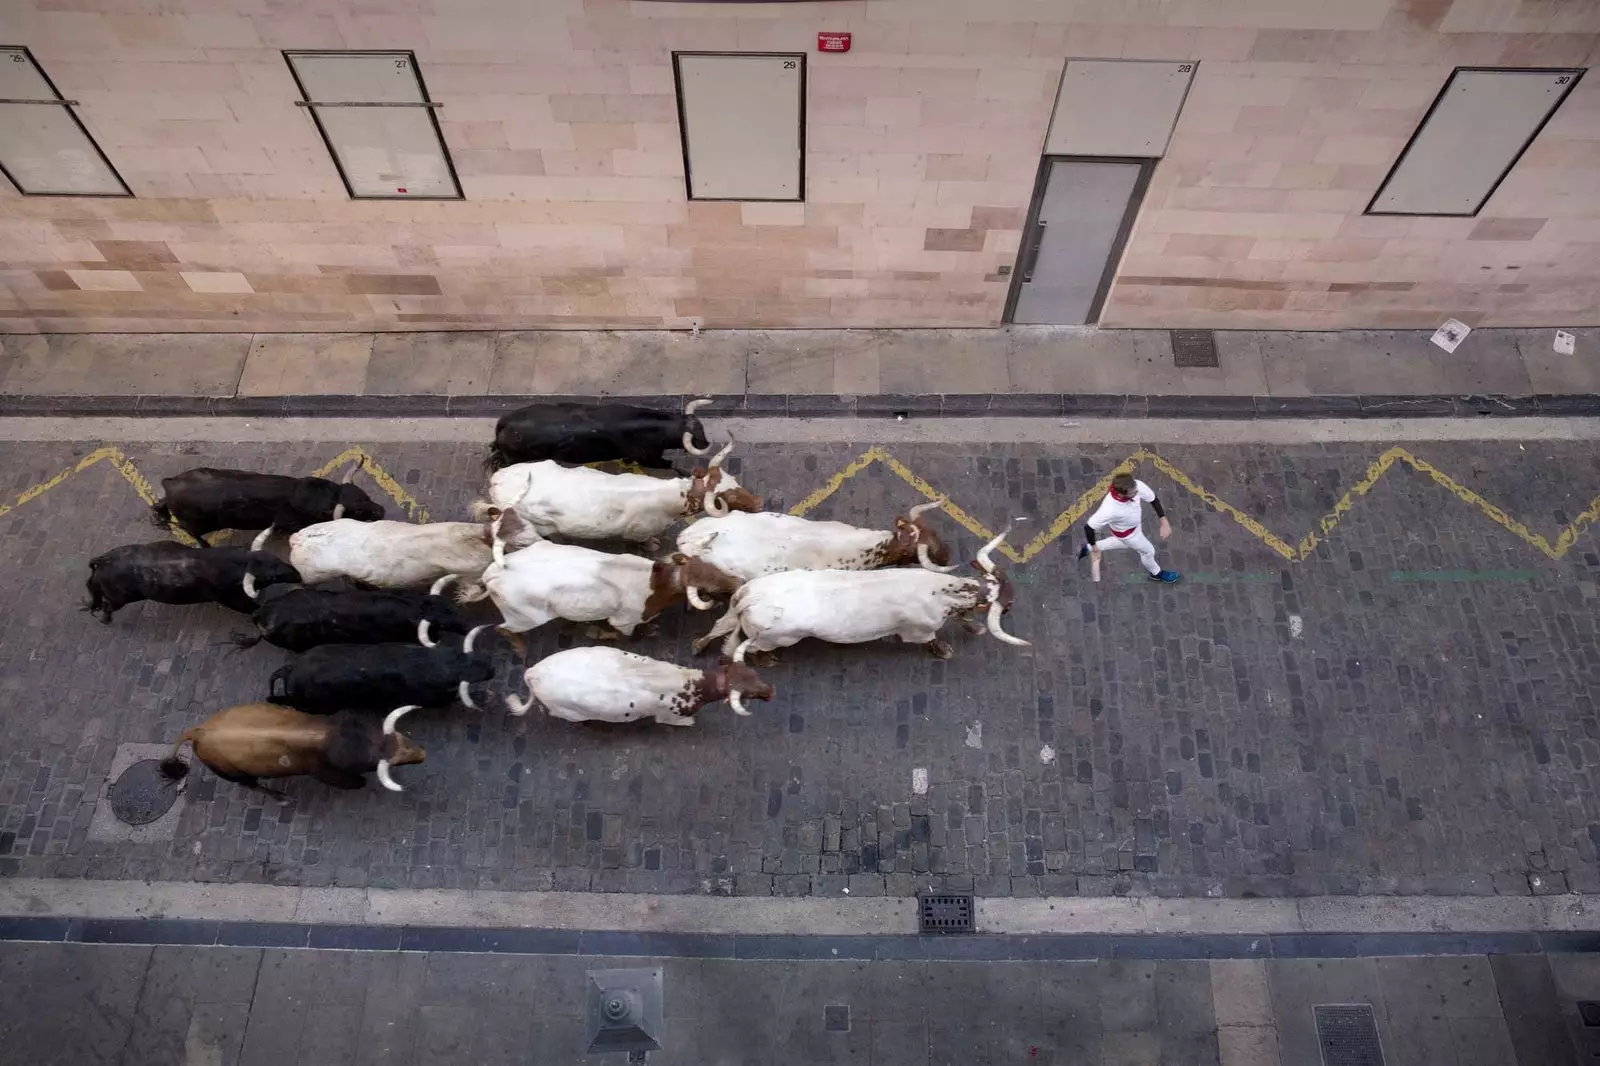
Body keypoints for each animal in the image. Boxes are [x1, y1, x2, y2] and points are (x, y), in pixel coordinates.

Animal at [483, 396, 716, 467]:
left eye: (703, 428)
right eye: (698, 436)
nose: (707, 443)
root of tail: (504, 422)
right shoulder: (648, 458)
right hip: (513, 459)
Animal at [502, 643, 771, 717]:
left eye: (755, 674)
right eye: (746, 694)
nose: (771, 691)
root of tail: (533, 672)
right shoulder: (671, 717)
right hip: (567, 711)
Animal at [694, 528, 1030, 659]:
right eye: (1010, 603)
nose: (1013, 604)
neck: (938, 592)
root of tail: (751, 596)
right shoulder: (919, 631)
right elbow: (933, 639)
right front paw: (945, 649)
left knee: (719, 629)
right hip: (776, 638)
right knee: (745, 649)